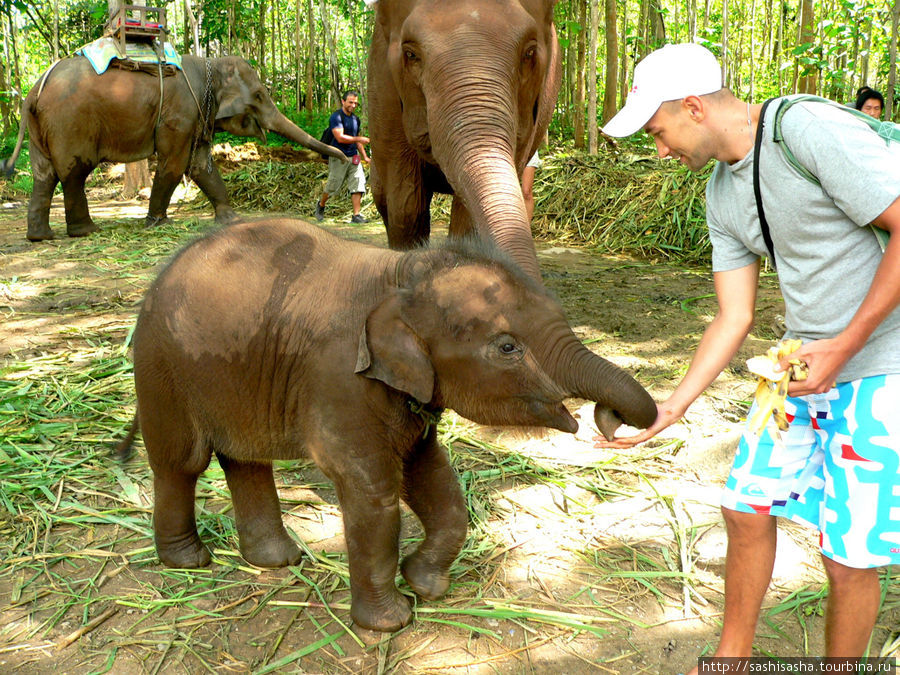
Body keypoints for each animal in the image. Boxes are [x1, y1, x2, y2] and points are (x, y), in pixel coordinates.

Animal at [0, 55, 348, 242]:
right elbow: (175, 163)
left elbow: (201, 165)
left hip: (41, 128)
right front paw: (159, 224)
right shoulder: (181, 113)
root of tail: (32, 92)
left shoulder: (198, 115)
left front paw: (231, 220)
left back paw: (40, 236)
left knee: (44, 175)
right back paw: (85, 231)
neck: (210, 64)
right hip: (70, 123)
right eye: (260, 95)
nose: (346, 155)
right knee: (74, 172)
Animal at [118, 217, 652, 632]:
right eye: (507, 347)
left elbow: (433, 478)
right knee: (181, 462)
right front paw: (391, 622)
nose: (609, 419)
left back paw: (278, 560)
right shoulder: (338, 378)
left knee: (244, 457)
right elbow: (372, 489)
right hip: (163, 367)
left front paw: (425, 584)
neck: (400, 273)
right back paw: (189, 561)